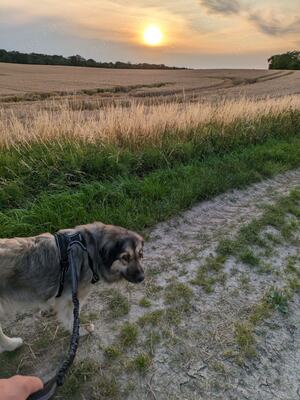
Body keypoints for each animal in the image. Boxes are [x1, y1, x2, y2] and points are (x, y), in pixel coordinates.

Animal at [0, 222, 144, 354]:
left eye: (140, 255)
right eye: (125, 257)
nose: (142, 277)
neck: (91, 248)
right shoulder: (71, 297)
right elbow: (73, 316)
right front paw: (80, 330)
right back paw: (12, 344)